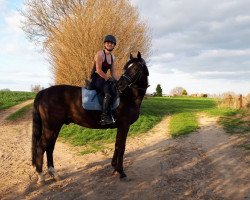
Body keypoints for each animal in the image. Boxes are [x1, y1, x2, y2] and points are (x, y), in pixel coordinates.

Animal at [31, 51, 148, 184]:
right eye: (127, 68)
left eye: (135, 68)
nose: (120, 85)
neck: (128, 96)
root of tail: (44, 92)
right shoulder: (124, 125)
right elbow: (122, 147)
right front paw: (121, 172)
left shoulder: (120, 126)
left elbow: (117, 145)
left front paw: (114, 167)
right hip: (51, 127)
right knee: (41, 147)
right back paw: (41, 177)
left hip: (55, 127)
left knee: (50, 147)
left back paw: (54, 174)